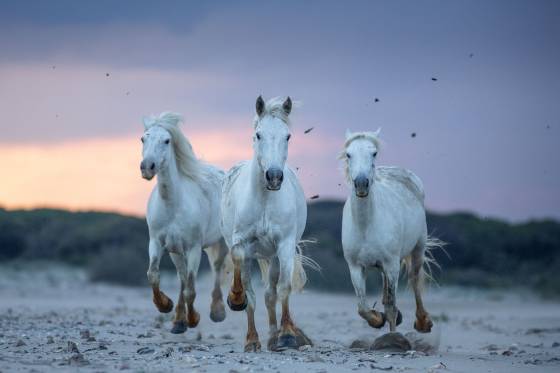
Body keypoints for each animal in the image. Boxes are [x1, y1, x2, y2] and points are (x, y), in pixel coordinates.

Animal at [141, 112, 231, 332]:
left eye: (166, 140)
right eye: (143, 139)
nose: (147, 167)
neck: (173, 204)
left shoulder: (194, 248)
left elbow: (191, 289)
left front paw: (193, 319)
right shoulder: (157, 242)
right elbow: (153, 275)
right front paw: (165, 306)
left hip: (220, 243)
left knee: (216, 268)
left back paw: (217, 312)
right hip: (176, 251)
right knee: (182, 276)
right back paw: (178, 321)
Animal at [220, 96, 316, 352]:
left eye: (288, 136)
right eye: (258, 134)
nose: (273, 177)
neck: (264, 199)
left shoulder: (284, 246)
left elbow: (283, 288)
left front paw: (287, 335)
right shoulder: (242, 243)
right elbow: (246, 289)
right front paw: (236, 300)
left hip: (272, 256)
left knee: (271, 294)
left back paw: (275, 336)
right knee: (257, 294)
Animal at [340, 129, 440, 332]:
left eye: (374, 153)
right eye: (348, 154)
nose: (361, 184)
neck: (365, 225)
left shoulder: (392, 265)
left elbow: (392, 307)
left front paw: (392, 331)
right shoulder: (355, 267)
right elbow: (362, 308)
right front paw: (378, 319)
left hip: (417, 250)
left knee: (414, 280)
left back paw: (423, 322)